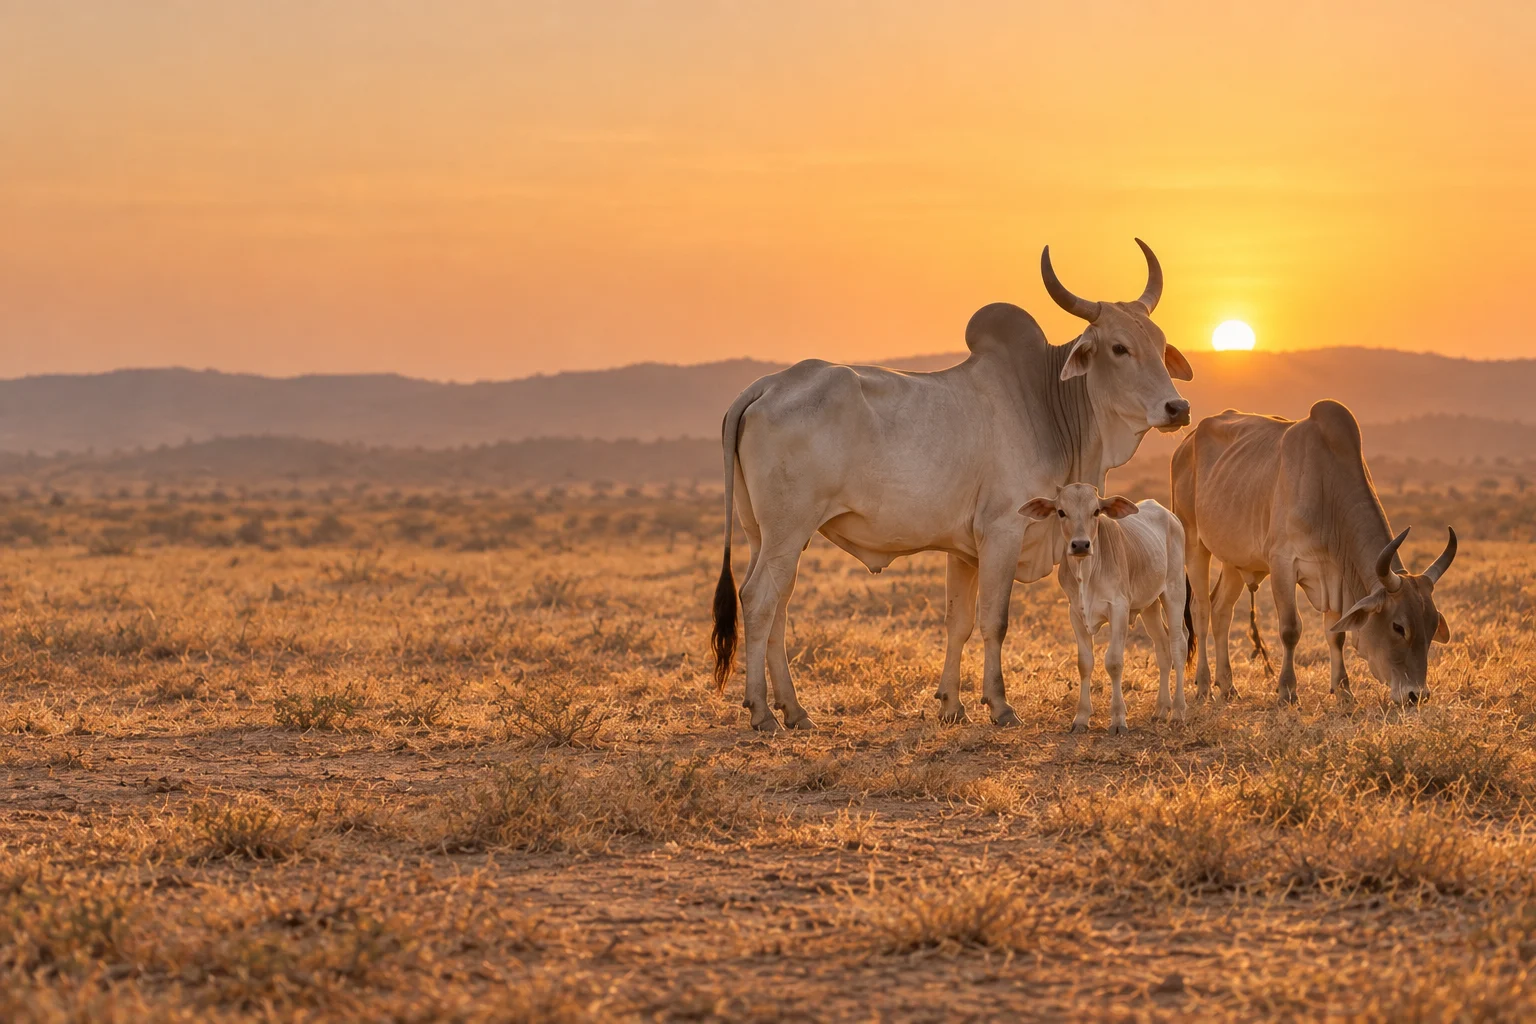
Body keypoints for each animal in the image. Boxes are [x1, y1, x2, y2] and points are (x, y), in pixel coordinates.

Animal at [1020, 484, 1190, 733]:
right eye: (1061, 512)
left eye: (1096, 511)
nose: (1080, 545)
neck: (1087, 572)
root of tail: (1169, 515)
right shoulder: (1075, 613)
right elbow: (1084, 663)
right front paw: (1081, 718)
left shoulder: (1119, 609)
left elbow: (1114, 662)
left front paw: (1118, 718)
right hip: (1150, 605)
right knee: (1162, 649)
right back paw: (1161, 709)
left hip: (1174, 592)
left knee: (1178, 645)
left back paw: (1177, 711)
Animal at [1171, 400, 1457, 706]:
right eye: (1398, 627)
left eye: (1432, 625)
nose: (1417, 694)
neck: (1326, 486)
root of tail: (1185, 444)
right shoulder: (1283, 564)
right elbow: (1290, 629)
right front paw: (1287, 690)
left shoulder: (1335, 575)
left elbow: (1336, 635)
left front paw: (1343, 689)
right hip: (1194, 543)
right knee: (1200, 609)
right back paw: (1203, 685)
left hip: (1234, 559)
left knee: (1221, 610)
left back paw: (1227, 685)